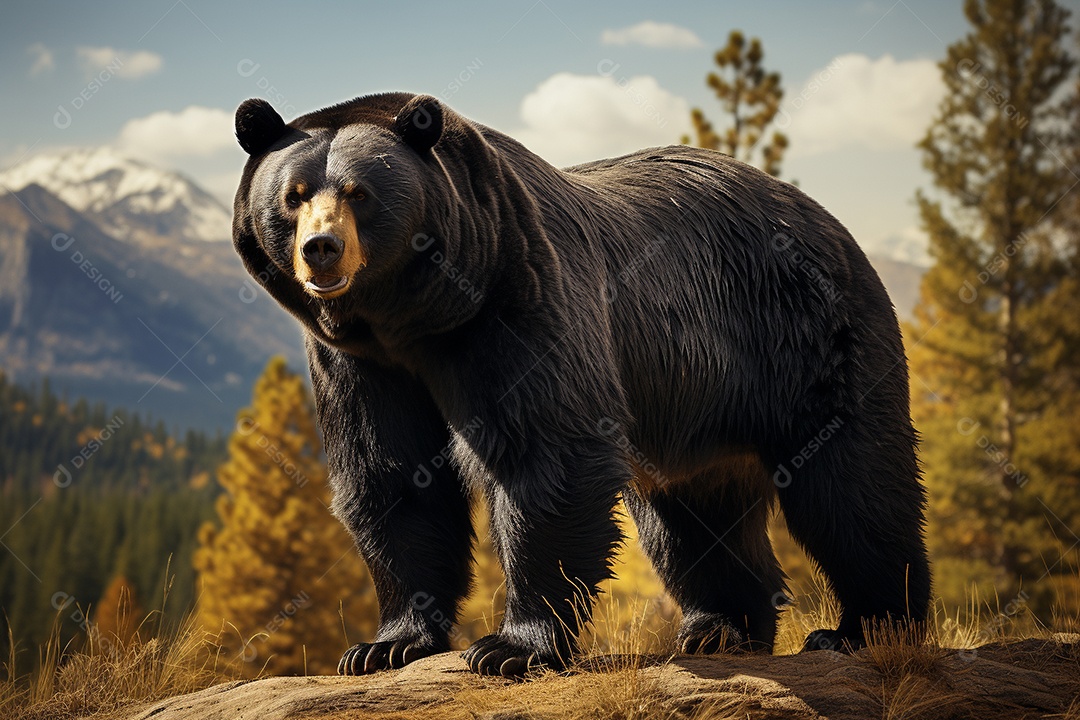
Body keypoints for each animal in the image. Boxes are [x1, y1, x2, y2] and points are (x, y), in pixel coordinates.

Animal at [231, 91, 931, 678]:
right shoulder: (358, 360)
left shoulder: (517, 295)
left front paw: (509, 647)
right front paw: (386, 644)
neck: (411, 316)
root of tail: (823, 216)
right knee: (693, 516)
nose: (321, 250)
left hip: (809, 339)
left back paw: (863, 629)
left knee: (853, 486)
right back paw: (719, 629)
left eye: (360, 193)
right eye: (292, 195)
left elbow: (546, 453)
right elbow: (390, 474)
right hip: (696, 414)